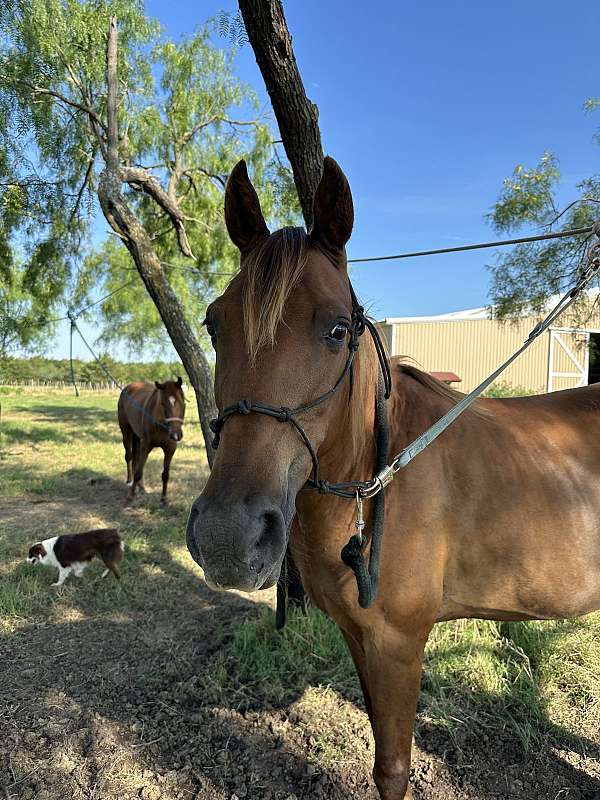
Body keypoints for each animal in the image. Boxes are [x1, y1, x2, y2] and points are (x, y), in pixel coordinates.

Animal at [185, 158, 600, 800]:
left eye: (337, 329)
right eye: (213, 323)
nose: (228, 535)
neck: (377, 478)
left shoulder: (400, 644)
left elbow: (393, 770)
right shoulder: (361, 637)